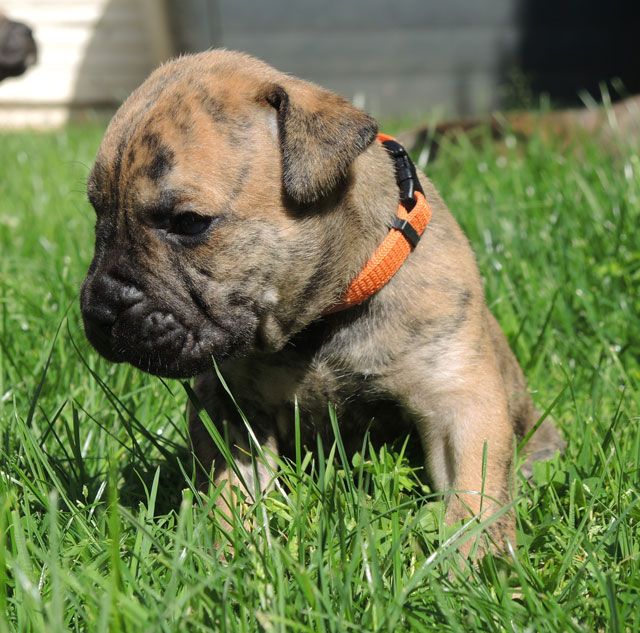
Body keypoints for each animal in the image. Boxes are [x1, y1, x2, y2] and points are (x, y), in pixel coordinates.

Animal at [80, 50, 564, 557]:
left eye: (189, 223)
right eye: (98, 211)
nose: (99, 312)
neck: (322, 315)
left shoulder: (458, 396)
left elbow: (476, 486)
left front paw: (469, 561)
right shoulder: (230, 404)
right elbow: (235, 482)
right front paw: (233, 550)